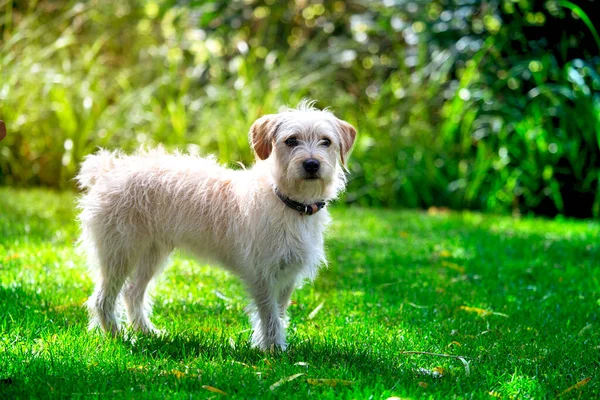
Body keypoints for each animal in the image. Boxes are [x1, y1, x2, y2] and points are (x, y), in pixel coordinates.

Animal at [75, 101, 356, 352]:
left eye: (326, 141)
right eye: (291, 140)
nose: (311, 164)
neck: (288, 201)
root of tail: (108, 171)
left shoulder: (287, 273)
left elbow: (279, 311)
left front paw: (273, 346)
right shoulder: (262, 274)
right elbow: (269, 314)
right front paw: (273, 350)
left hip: (152, 254)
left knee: (132, 292)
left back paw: (146, 331)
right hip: (119, 254)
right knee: (102, 299)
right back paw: (118, 336)